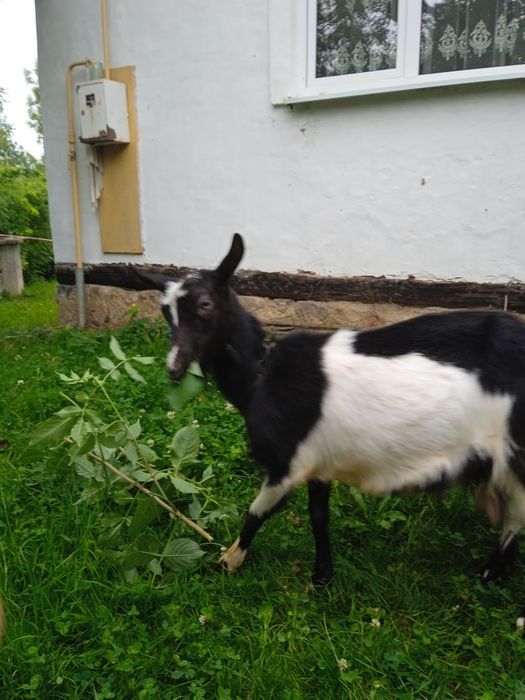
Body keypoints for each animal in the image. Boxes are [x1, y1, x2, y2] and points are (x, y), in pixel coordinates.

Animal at [139, 234, 525, 627]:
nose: (175, 368)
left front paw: (229, 561)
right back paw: (495, 572)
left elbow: (257, 512)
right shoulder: (319, 461)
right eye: (165, 310)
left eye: (205, 304)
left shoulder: (286, 462)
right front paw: (322, 576)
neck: (262, 375)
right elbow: (318, 516)